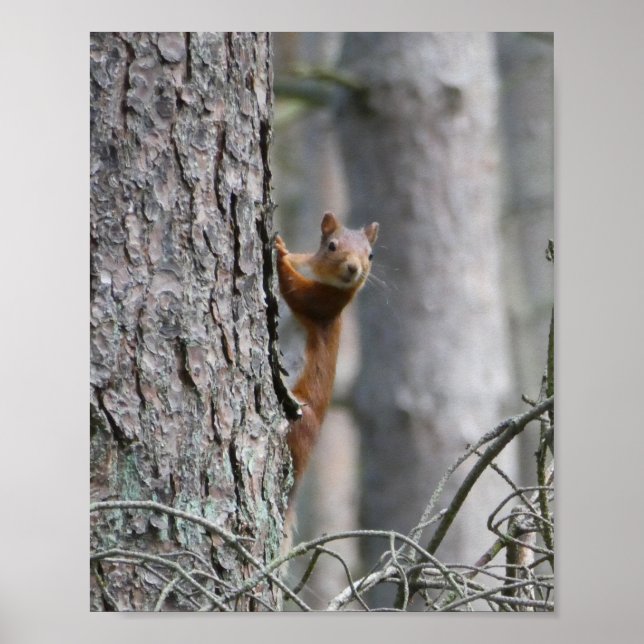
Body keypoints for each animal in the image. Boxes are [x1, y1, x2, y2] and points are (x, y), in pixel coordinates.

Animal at [275, 211, 379, 499]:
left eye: (370, 255)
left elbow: (298, 292)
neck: (317, 274)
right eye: (332, 245)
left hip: (301, 418)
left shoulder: (327, 303)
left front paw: (279, 254)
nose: (353, 268)